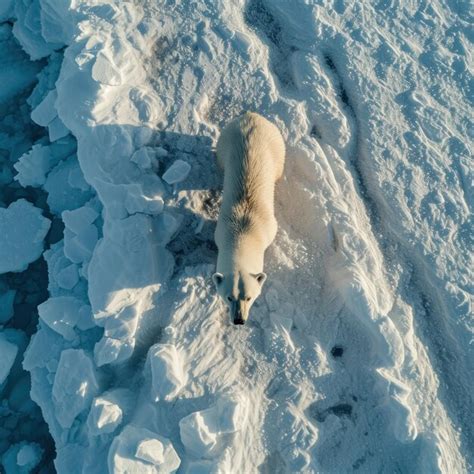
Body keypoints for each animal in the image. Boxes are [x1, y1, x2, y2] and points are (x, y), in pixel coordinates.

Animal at [214, 112, 286, 326]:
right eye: (229, 297)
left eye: (249, 297)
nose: (239, 319)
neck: (243, 231)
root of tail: (251, 115)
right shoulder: (220, 229)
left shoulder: (270, 228)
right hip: (227, 138)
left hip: (276, 144)